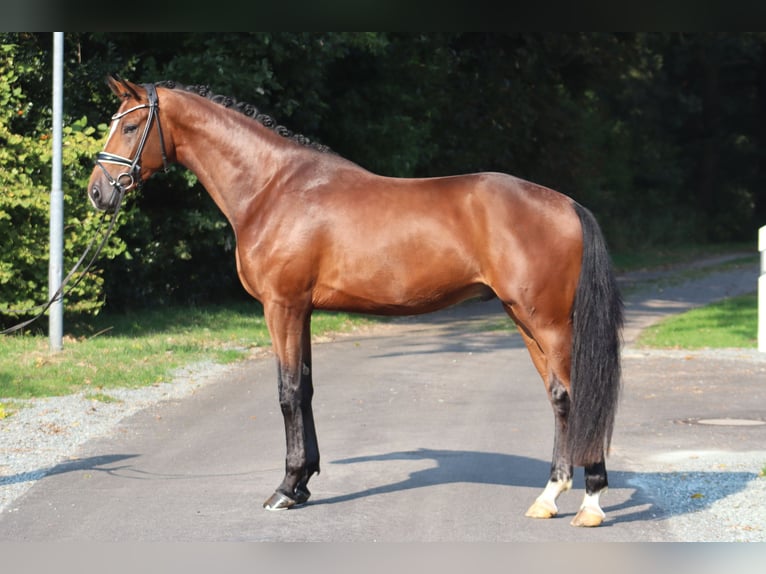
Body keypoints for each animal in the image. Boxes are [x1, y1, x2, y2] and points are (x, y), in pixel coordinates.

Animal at [88, 76, 624, 532]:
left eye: (131, 126)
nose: (97, 192)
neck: (273, 188)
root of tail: (567, 205)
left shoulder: (281, 307)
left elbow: (287, 393)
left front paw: (285, 489)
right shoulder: (301, 311)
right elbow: (304, 389)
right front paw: (303, 483)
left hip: (548, 322)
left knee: (577, 397)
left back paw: (591, 504)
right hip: (525, 321)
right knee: (559, 398)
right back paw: (549, 497)